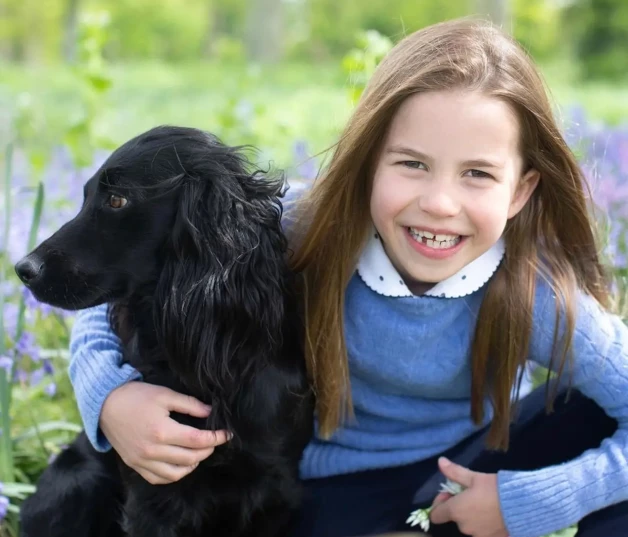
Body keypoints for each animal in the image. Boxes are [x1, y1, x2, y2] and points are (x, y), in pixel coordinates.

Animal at [15, 126, 314, 536]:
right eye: (86, 195)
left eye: (117, 199)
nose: (23, 269)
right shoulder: (153, 491)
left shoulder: (275, 490)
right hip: (75, 481)